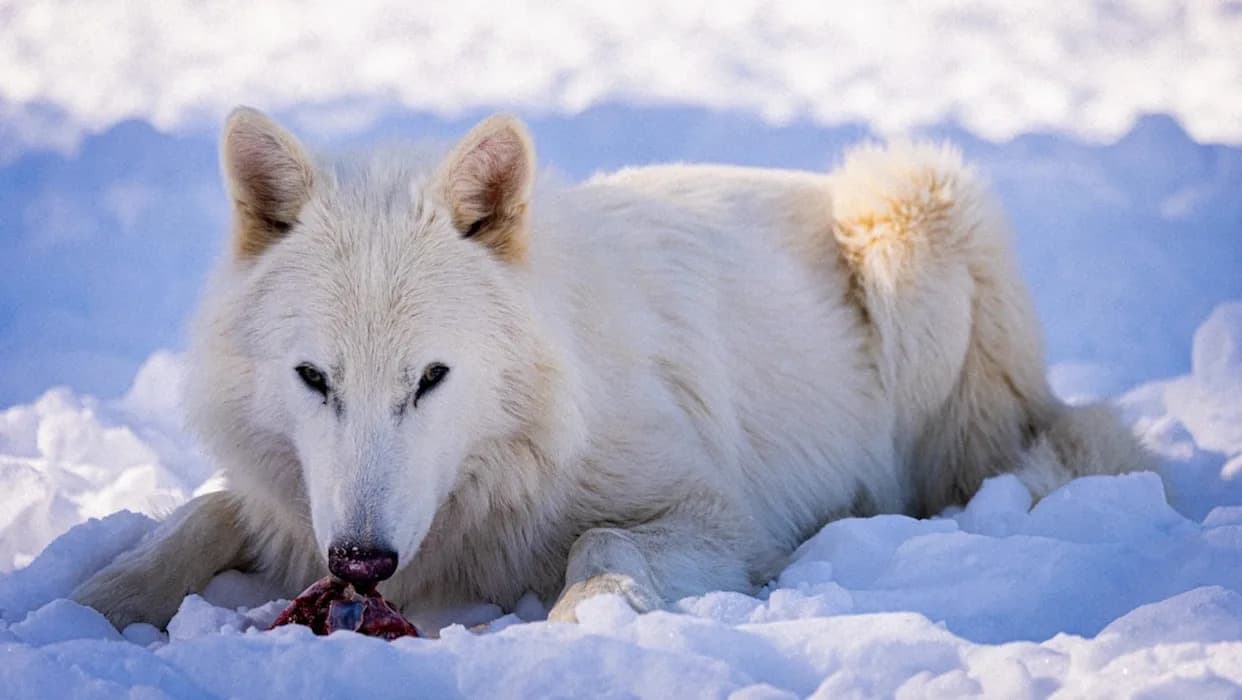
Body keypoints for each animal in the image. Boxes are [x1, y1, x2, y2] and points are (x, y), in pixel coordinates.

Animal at [74, 108, 1152, 630]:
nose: (363, 565)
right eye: (314, 379)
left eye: (431, 379)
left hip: (905, 206)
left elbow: (600, 545)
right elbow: (198, 518)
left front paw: (583, 626)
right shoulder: (296, 508)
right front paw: (85, 607)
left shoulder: (713, 513)